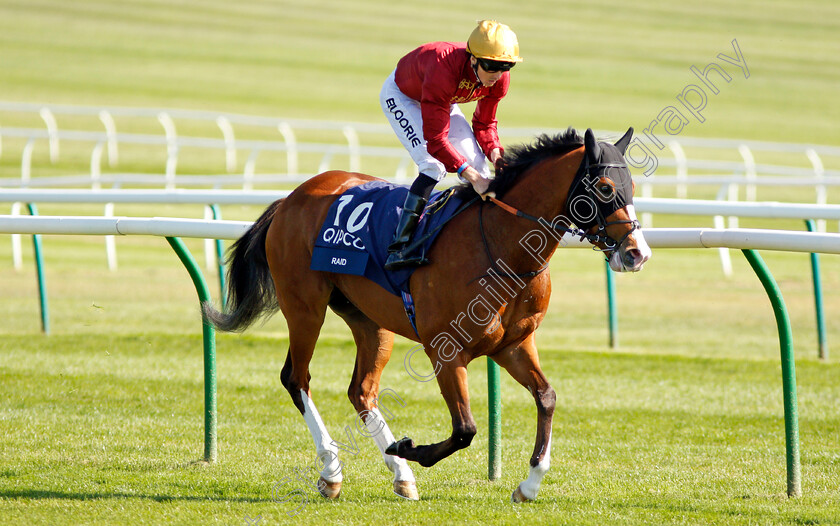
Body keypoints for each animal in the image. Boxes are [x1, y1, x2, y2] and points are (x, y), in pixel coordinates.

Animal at [202, 126, 648, 506]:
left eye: (632, 186)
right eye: (605, 187)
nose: (637, 253)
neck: (502, 246)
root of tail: (291, 197)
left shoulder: (514, 345)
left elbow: (547, 397)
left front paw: (530, 484)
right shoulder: (445, 351)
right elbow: (465, 429)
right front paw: (410, 447)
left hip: (370, 320)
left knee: (361, 390)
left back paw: (400, 475)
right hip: (304, 306)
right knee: (296, 378)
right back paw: (332, 472)